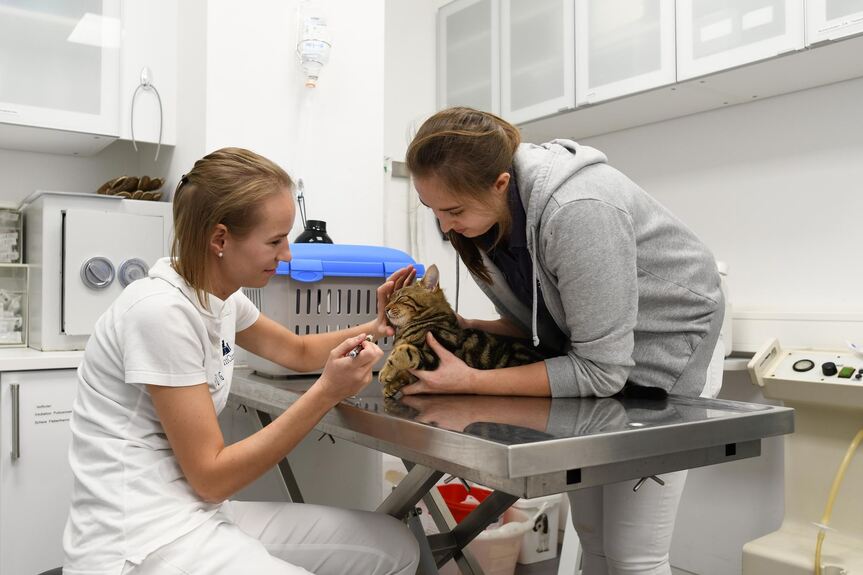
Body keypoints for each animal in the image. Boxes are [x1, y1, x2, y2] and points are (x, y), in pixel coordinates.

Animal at [380, 264, 544, 398]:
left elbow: (404, 350)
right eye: (390, 299)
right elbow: (405, 372)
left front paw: (386, 372)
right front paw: (391, 385)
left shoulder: (434, 355)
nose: (386, 308)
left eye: (401, 298)